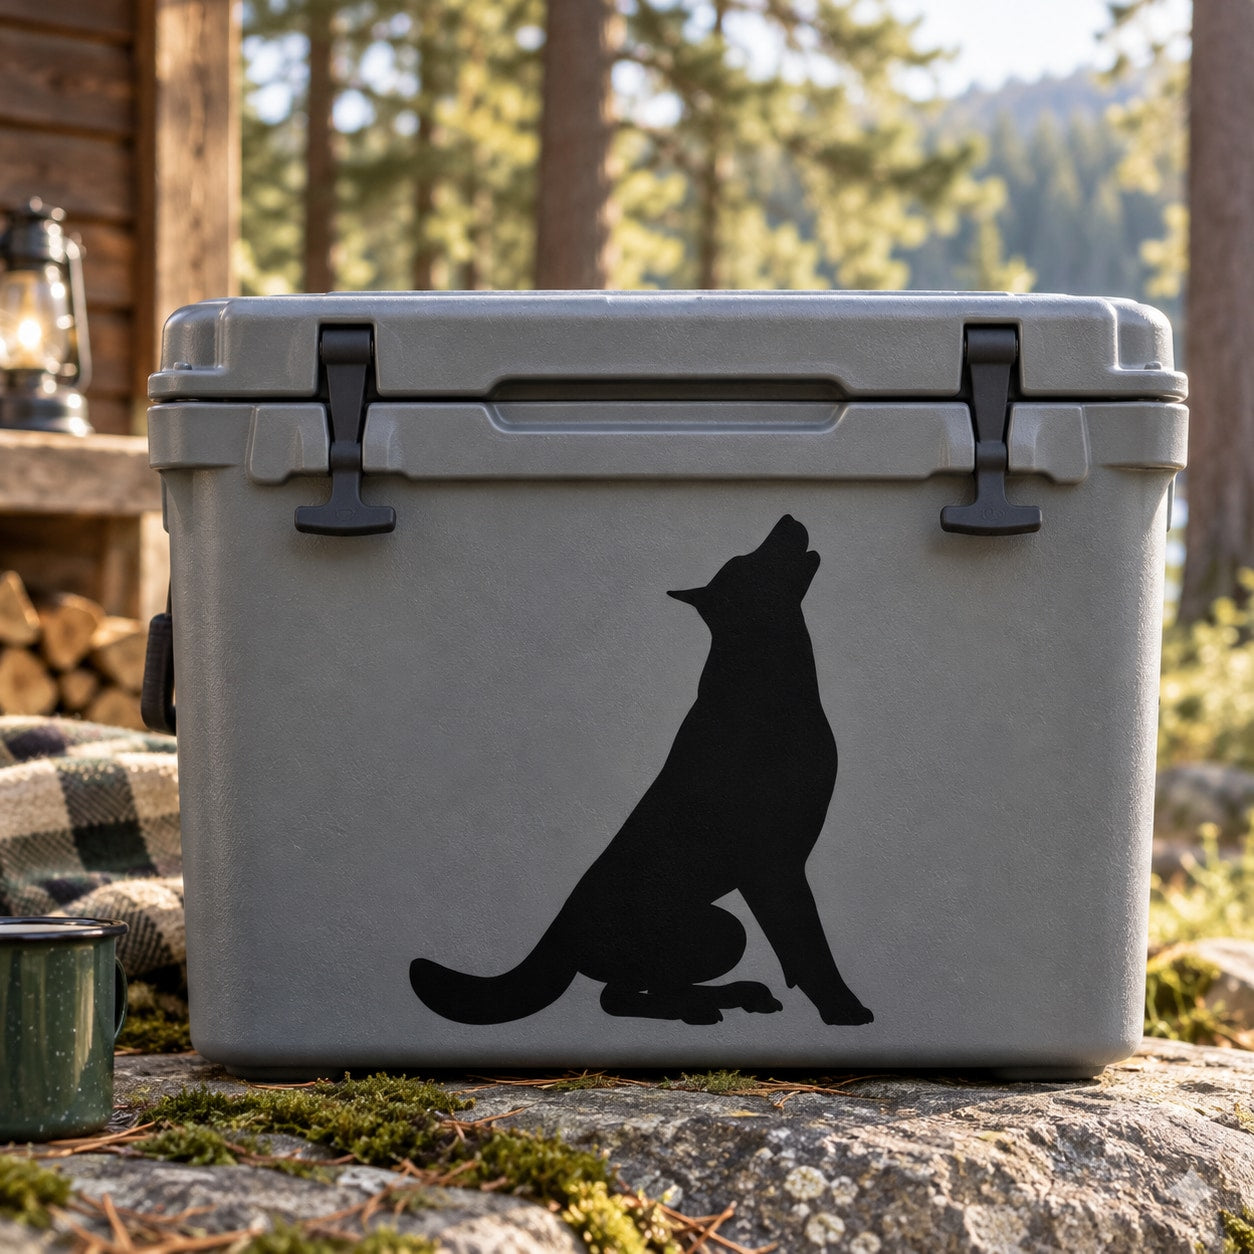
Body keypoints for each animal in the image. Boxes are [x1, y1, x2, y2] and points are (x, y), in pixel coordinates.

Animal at [409, 515, 874, 1027]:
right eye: (748, 559)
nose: (787, 518)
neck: (762, 671)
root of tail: (558, 931)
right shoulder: (775, 868)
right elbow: (809, 947)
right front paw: (843, 1007)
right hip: (720, 929)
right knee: (620, 997)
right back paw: (703, 1005)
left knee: (631, 991)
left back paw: (734, 994)